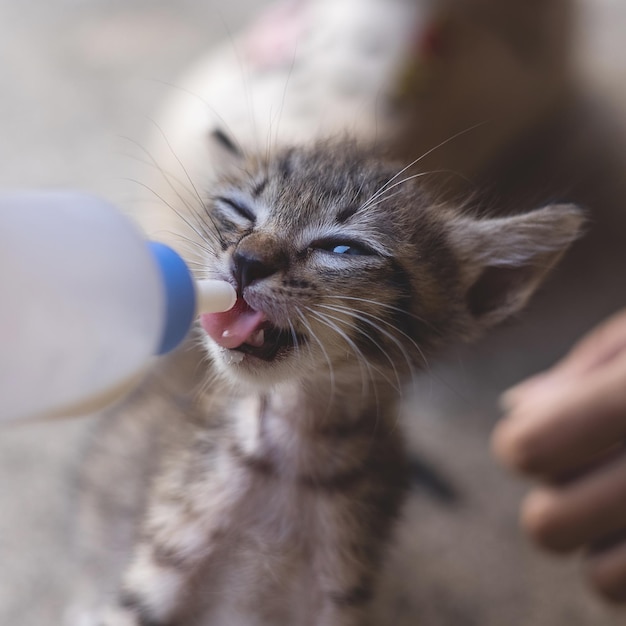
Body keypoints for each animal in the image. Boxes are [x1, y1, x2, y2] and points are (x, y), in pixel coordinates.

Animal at [88, 136, 580, 624]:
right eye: (238, 209)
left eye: (345, 249)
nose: (246, 261)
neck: (292, 454)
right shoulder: (147, 588)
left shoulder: (339, 598)